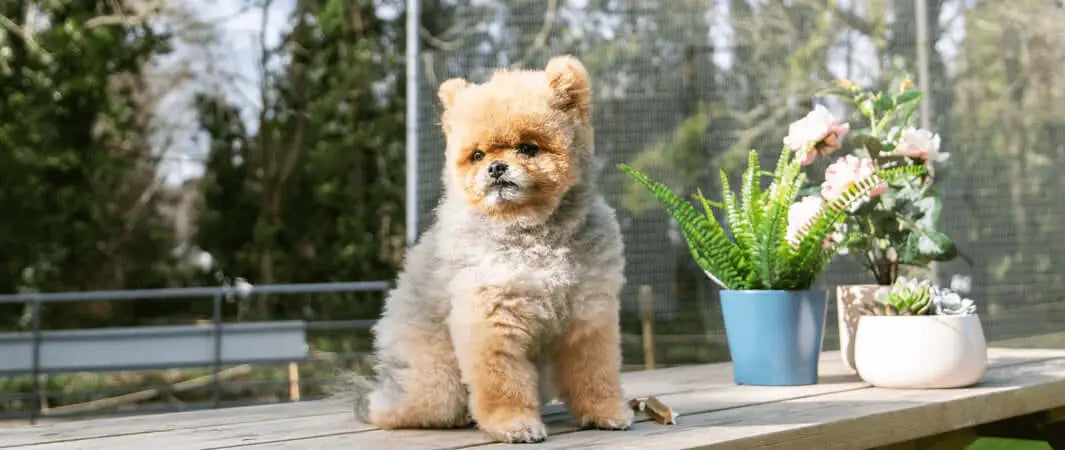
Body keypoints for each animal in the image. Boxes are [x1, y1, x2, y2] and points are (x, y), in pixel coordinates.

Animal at [349, 55, 630, 444]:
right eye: (477, 155)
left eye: (528, 148)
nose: (496, 167)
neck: (532, 233)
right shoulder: (491, 317)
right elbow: (503, 381)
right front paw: (514, 424)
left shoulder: (588, 315)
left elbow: (595, 374)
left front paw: (606, 413)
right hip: (439, 385)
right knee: (399, 409)